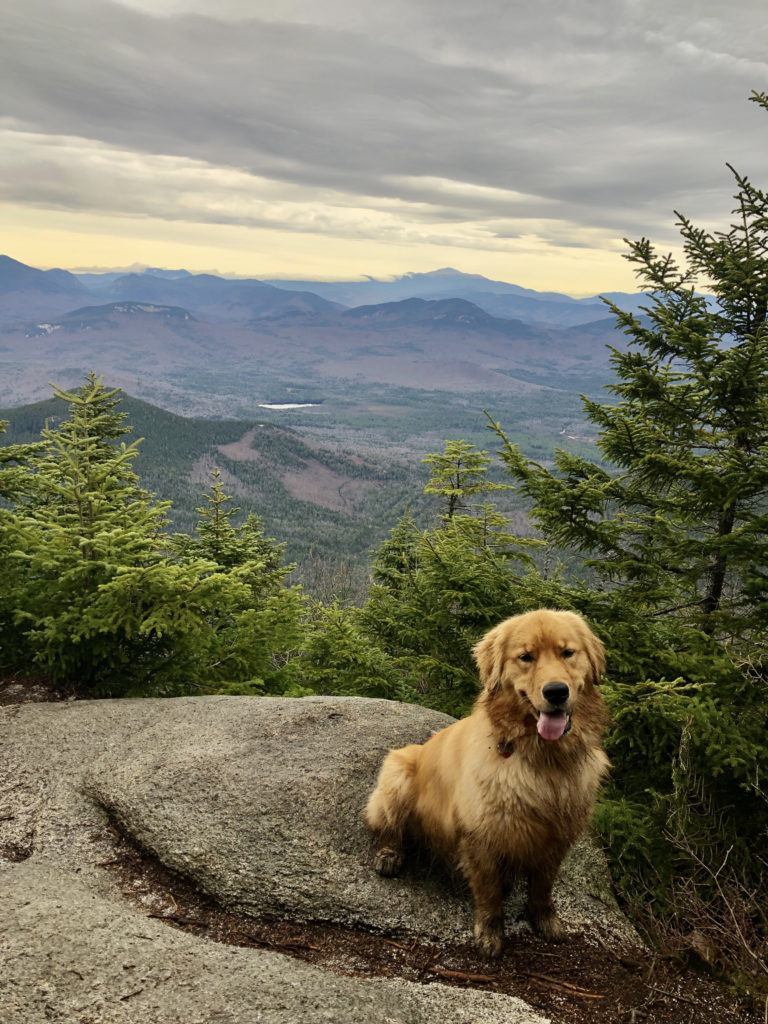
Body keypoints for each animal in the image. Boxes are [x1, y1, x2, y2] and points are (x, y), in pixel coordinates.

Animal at [364, 606, 610, 950]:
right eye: (526, 657)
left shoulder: (557, 835)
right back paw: (389, 855)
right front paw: (490, 934)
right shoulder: (481, 835)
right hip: (397, 774)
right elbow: (489, 891)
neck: (542, 760)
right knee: (390, 828)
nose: (556, 691)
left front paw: (545, 919)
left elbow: (543, 886)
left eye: (567, 653)